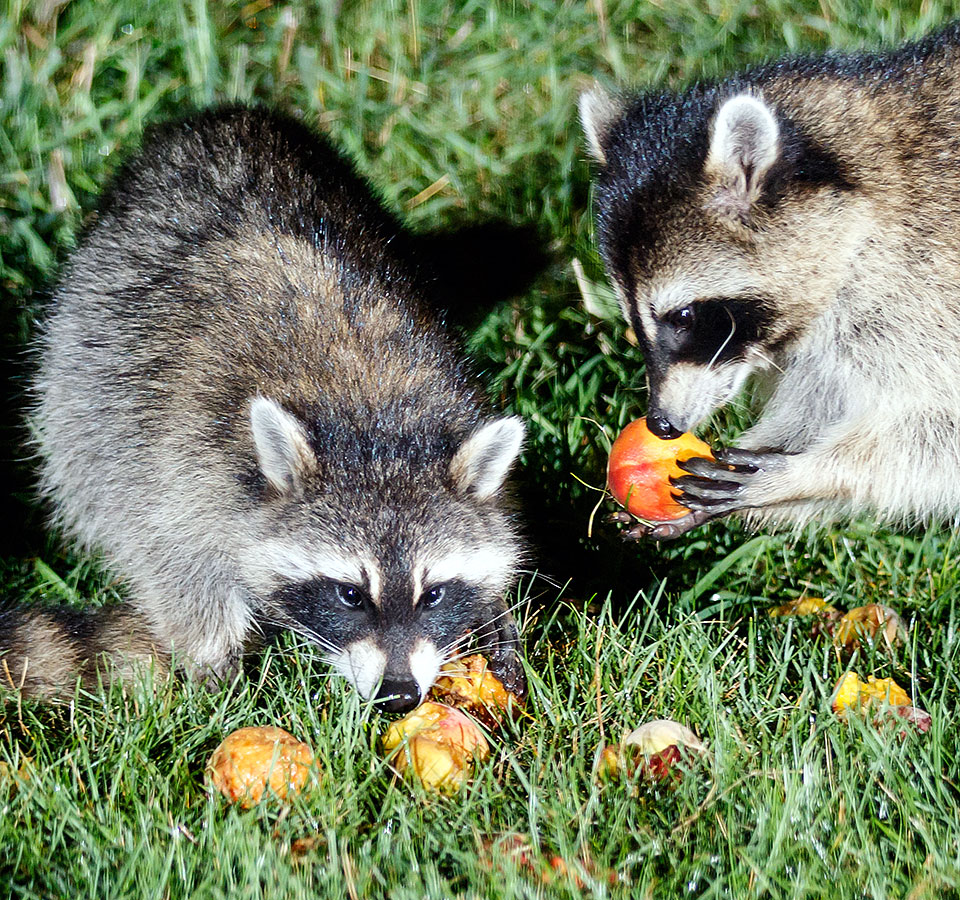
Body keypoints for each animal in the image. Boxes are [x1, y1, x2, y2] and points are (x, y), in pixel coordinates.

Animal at [0, 107, 524, 712]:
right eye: (350, 594)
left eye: (434, 593)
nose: (398, 695)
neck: (374, 422)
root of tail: (220, 118)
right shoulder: (179, 464)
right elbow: (176, 564)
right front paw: (217, 669)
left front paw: (494, 611)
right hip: (80, 363)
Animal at [580, 24, 960, 536]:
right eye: (632, 321)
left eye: (683, 316)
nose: (661, 424)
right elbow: (819, 402)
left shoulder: (923, 290)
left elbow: (939, 433)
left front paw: (808, 472)